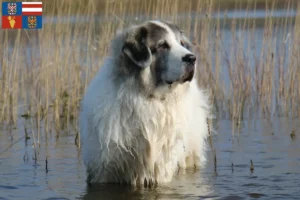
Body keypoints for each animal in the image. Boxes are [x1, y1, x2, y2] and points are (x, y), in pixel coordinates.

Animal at [79, 19, 211, 186]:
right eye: (162, 45)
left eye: (181, 43)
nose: (192, 58)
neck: (149, 97)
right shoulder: (103, 170)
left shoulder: (160, 168)